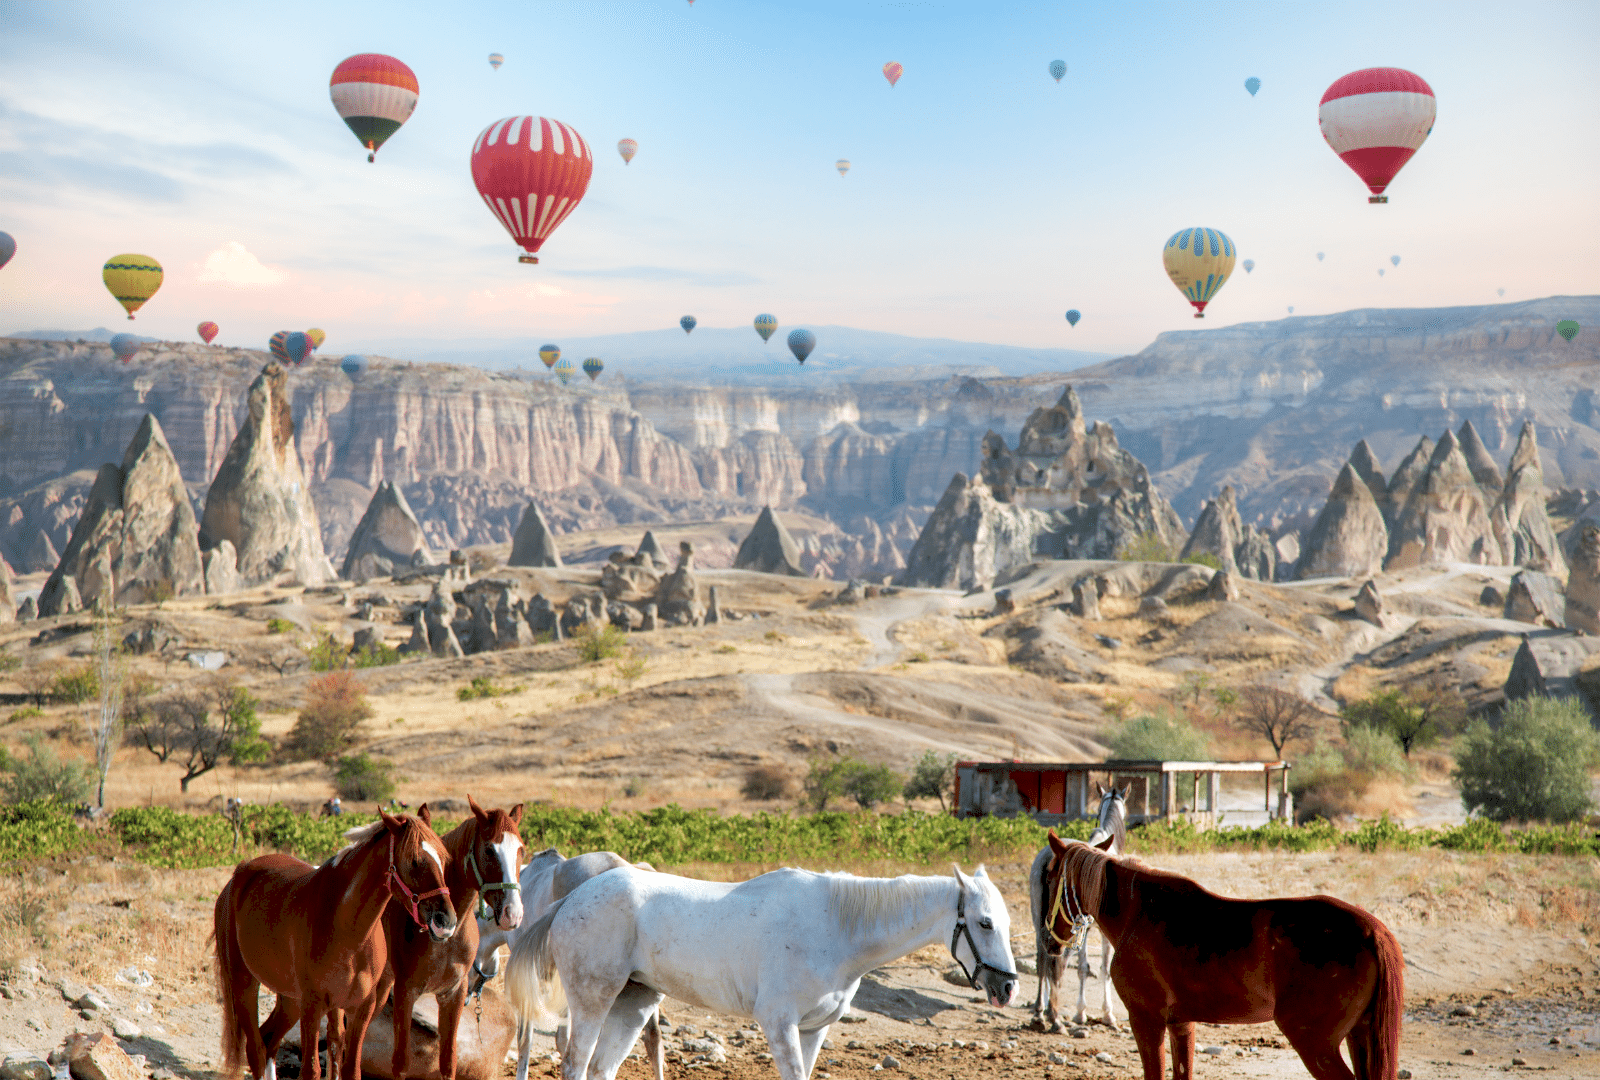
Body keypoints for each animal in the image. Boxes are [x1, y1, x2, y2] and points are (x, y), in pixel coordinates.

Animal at [212, 812, 457, 1080]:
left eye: (444, 858)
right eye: (414, 860)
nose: (446, 921)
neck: (349, 930)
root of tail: (239, 873)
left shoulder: (360, 1009)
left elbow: (349, 1067)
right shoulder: (313, 1006)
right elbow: (311, 1070)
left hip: (290, 999)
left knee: (269, 1041)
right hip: (244, 984)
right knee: (255, 1049)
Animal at [505, 864, 1017, 1080]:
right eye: (984, 923)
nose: (1008, 987)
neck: (835, 928)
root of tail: (570, 900)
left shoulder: (813, 1030)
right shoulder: (779, 1024)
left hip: (635, 1005)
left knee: (599, 1069)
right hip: (594, 1001)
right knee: (575, 1064)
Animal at [1030, 787, 1132, 1030]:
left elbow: (1083, 967)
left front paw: (1080, 1012)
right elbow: (1103, 968)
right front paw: (1105, 1013)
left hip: (1040, 921)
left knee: (1043, 959)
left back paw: (1040, 1012)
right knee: (1055, 963)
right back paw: (1054, 1016)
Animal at [1036, 838, 1401, 1080]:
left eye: (1049, 878)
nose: (1047, 940)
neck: (1136, 912)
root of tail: (1372, 931)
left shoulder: (1146, 1020)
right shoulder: (1181, 1024)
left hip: (1315, 1044)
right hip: (1359, 1037)